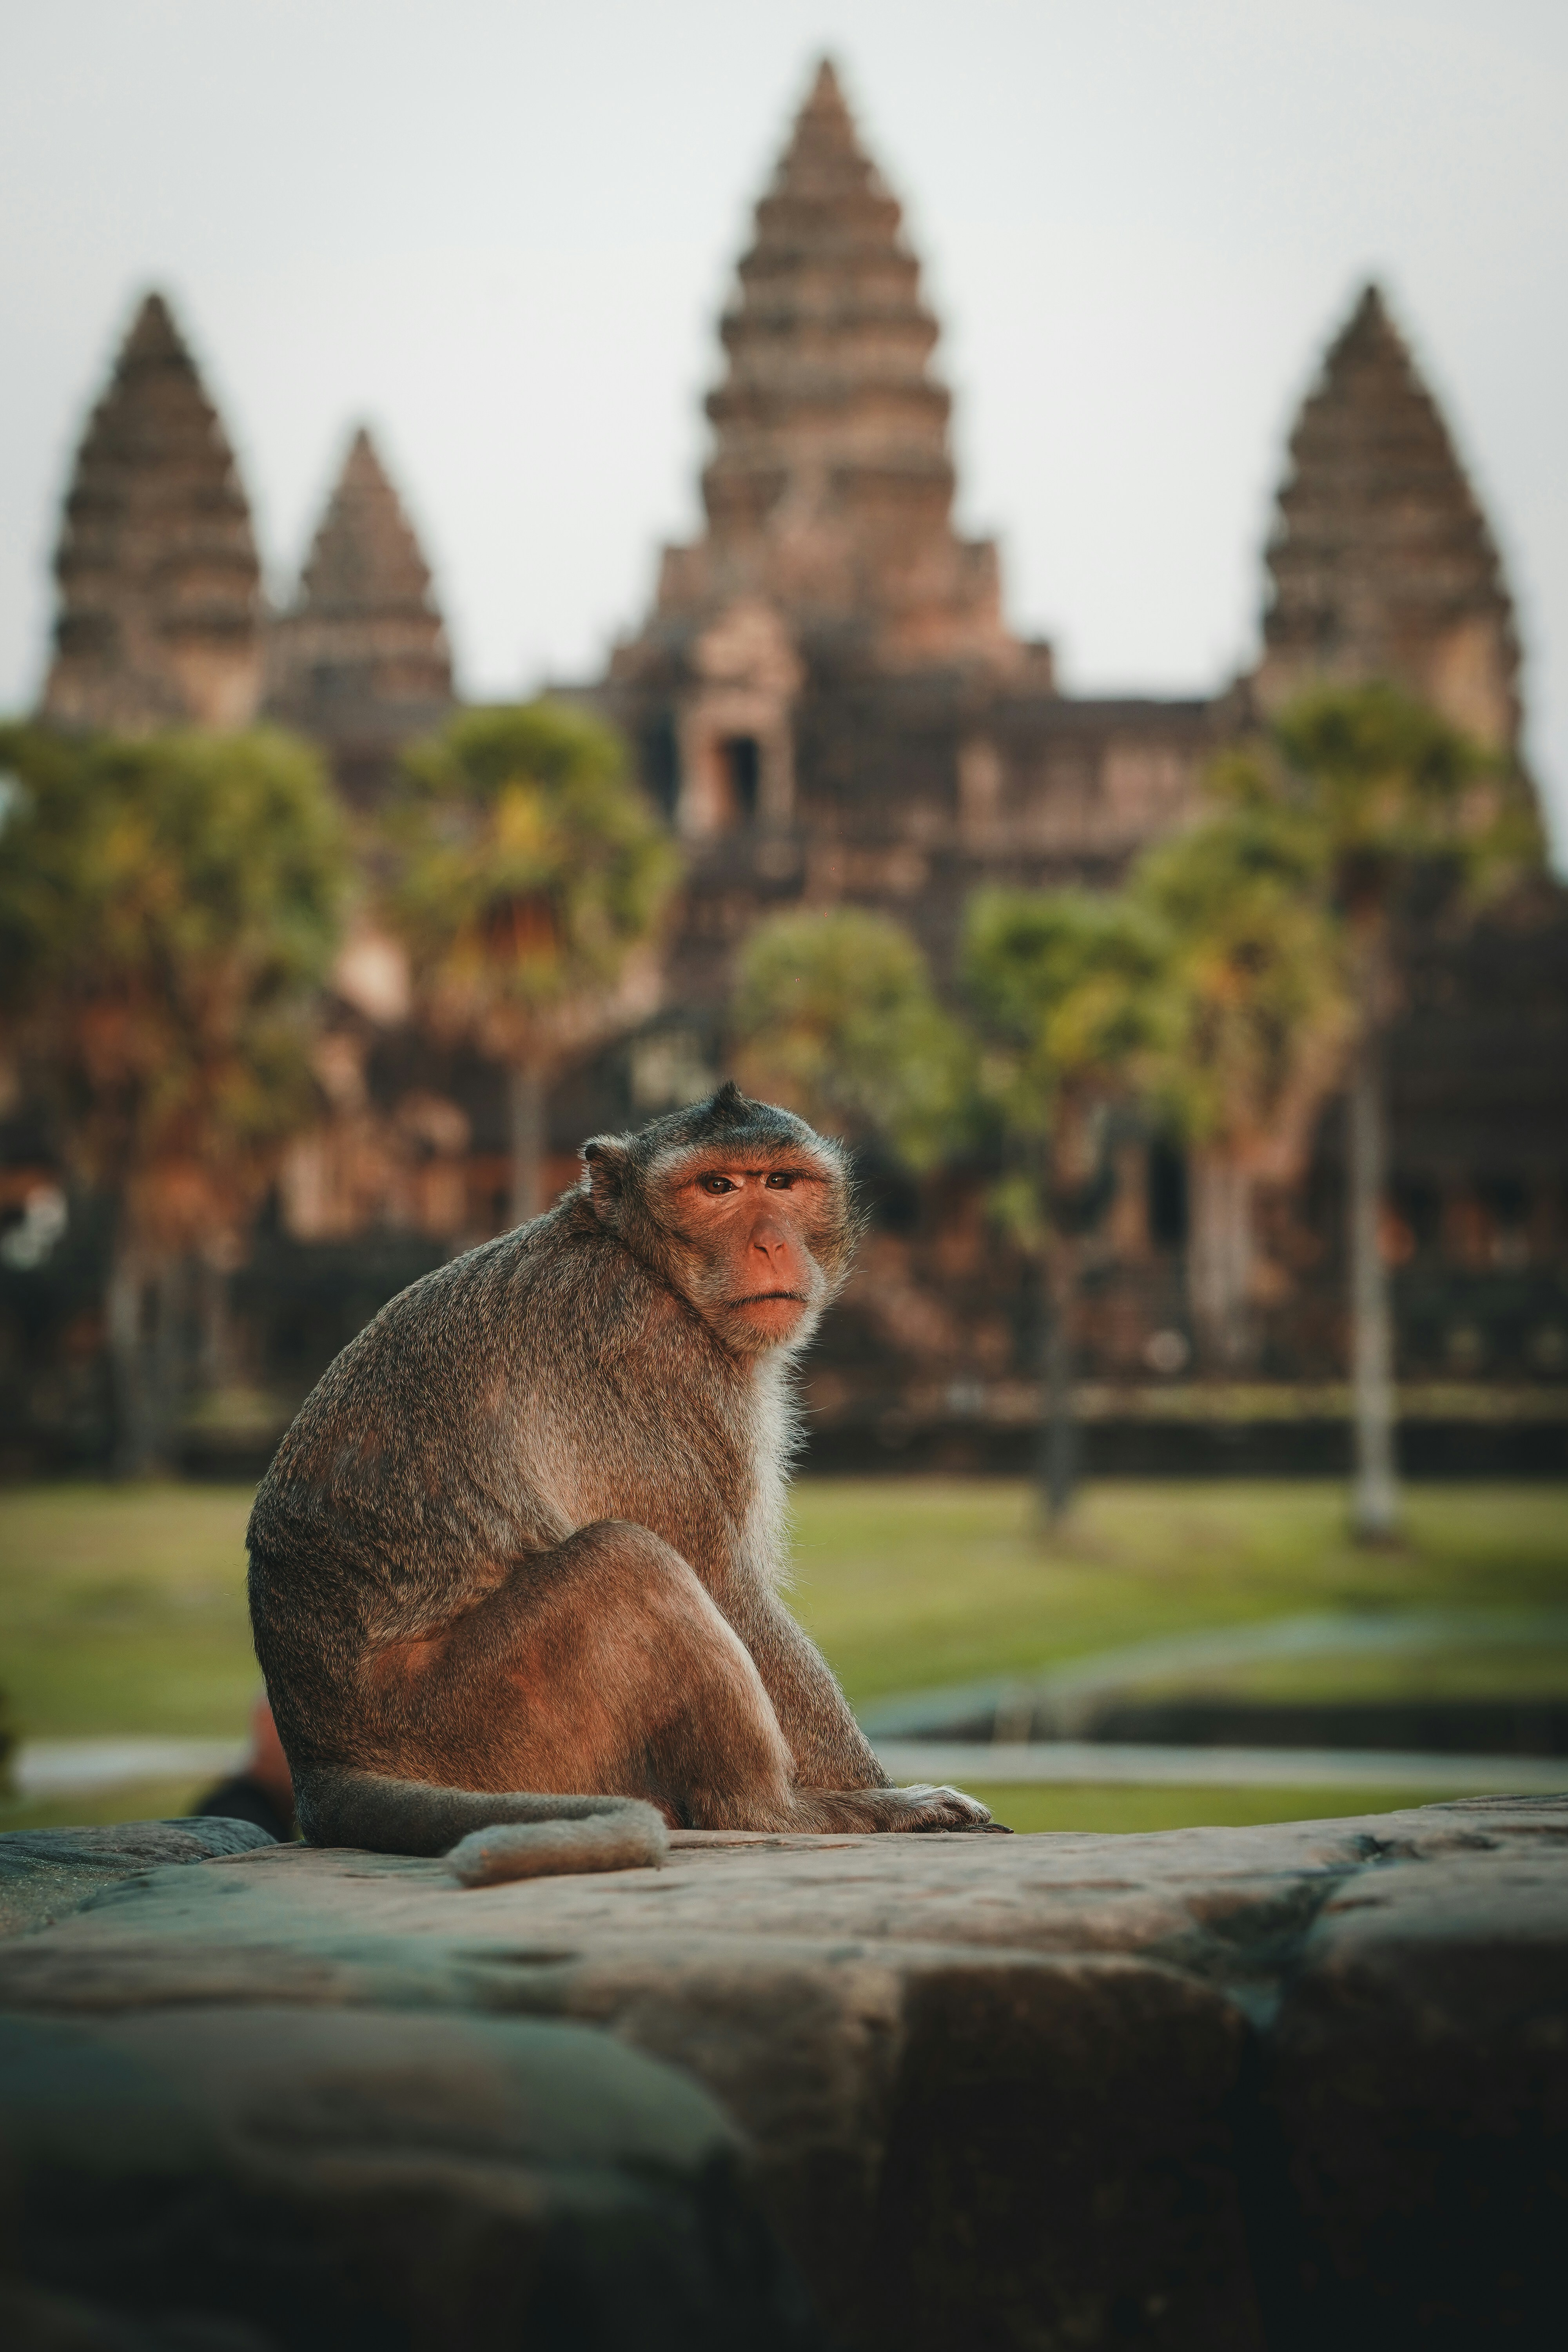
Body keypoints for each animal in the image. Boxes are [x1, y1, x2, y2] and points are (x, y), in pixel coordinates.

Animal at [247, 1083, 998, 1882]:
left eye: (781, 1182)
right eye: (717, 1187)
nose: (770, 1243)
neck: (642, 1260)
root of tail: (320, 1761)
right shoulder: (657, 1363)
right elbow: (720, 1577)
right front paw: (875, 1788)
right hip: (475, 1719)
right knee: (626, 1561)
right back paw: (781, 1810)